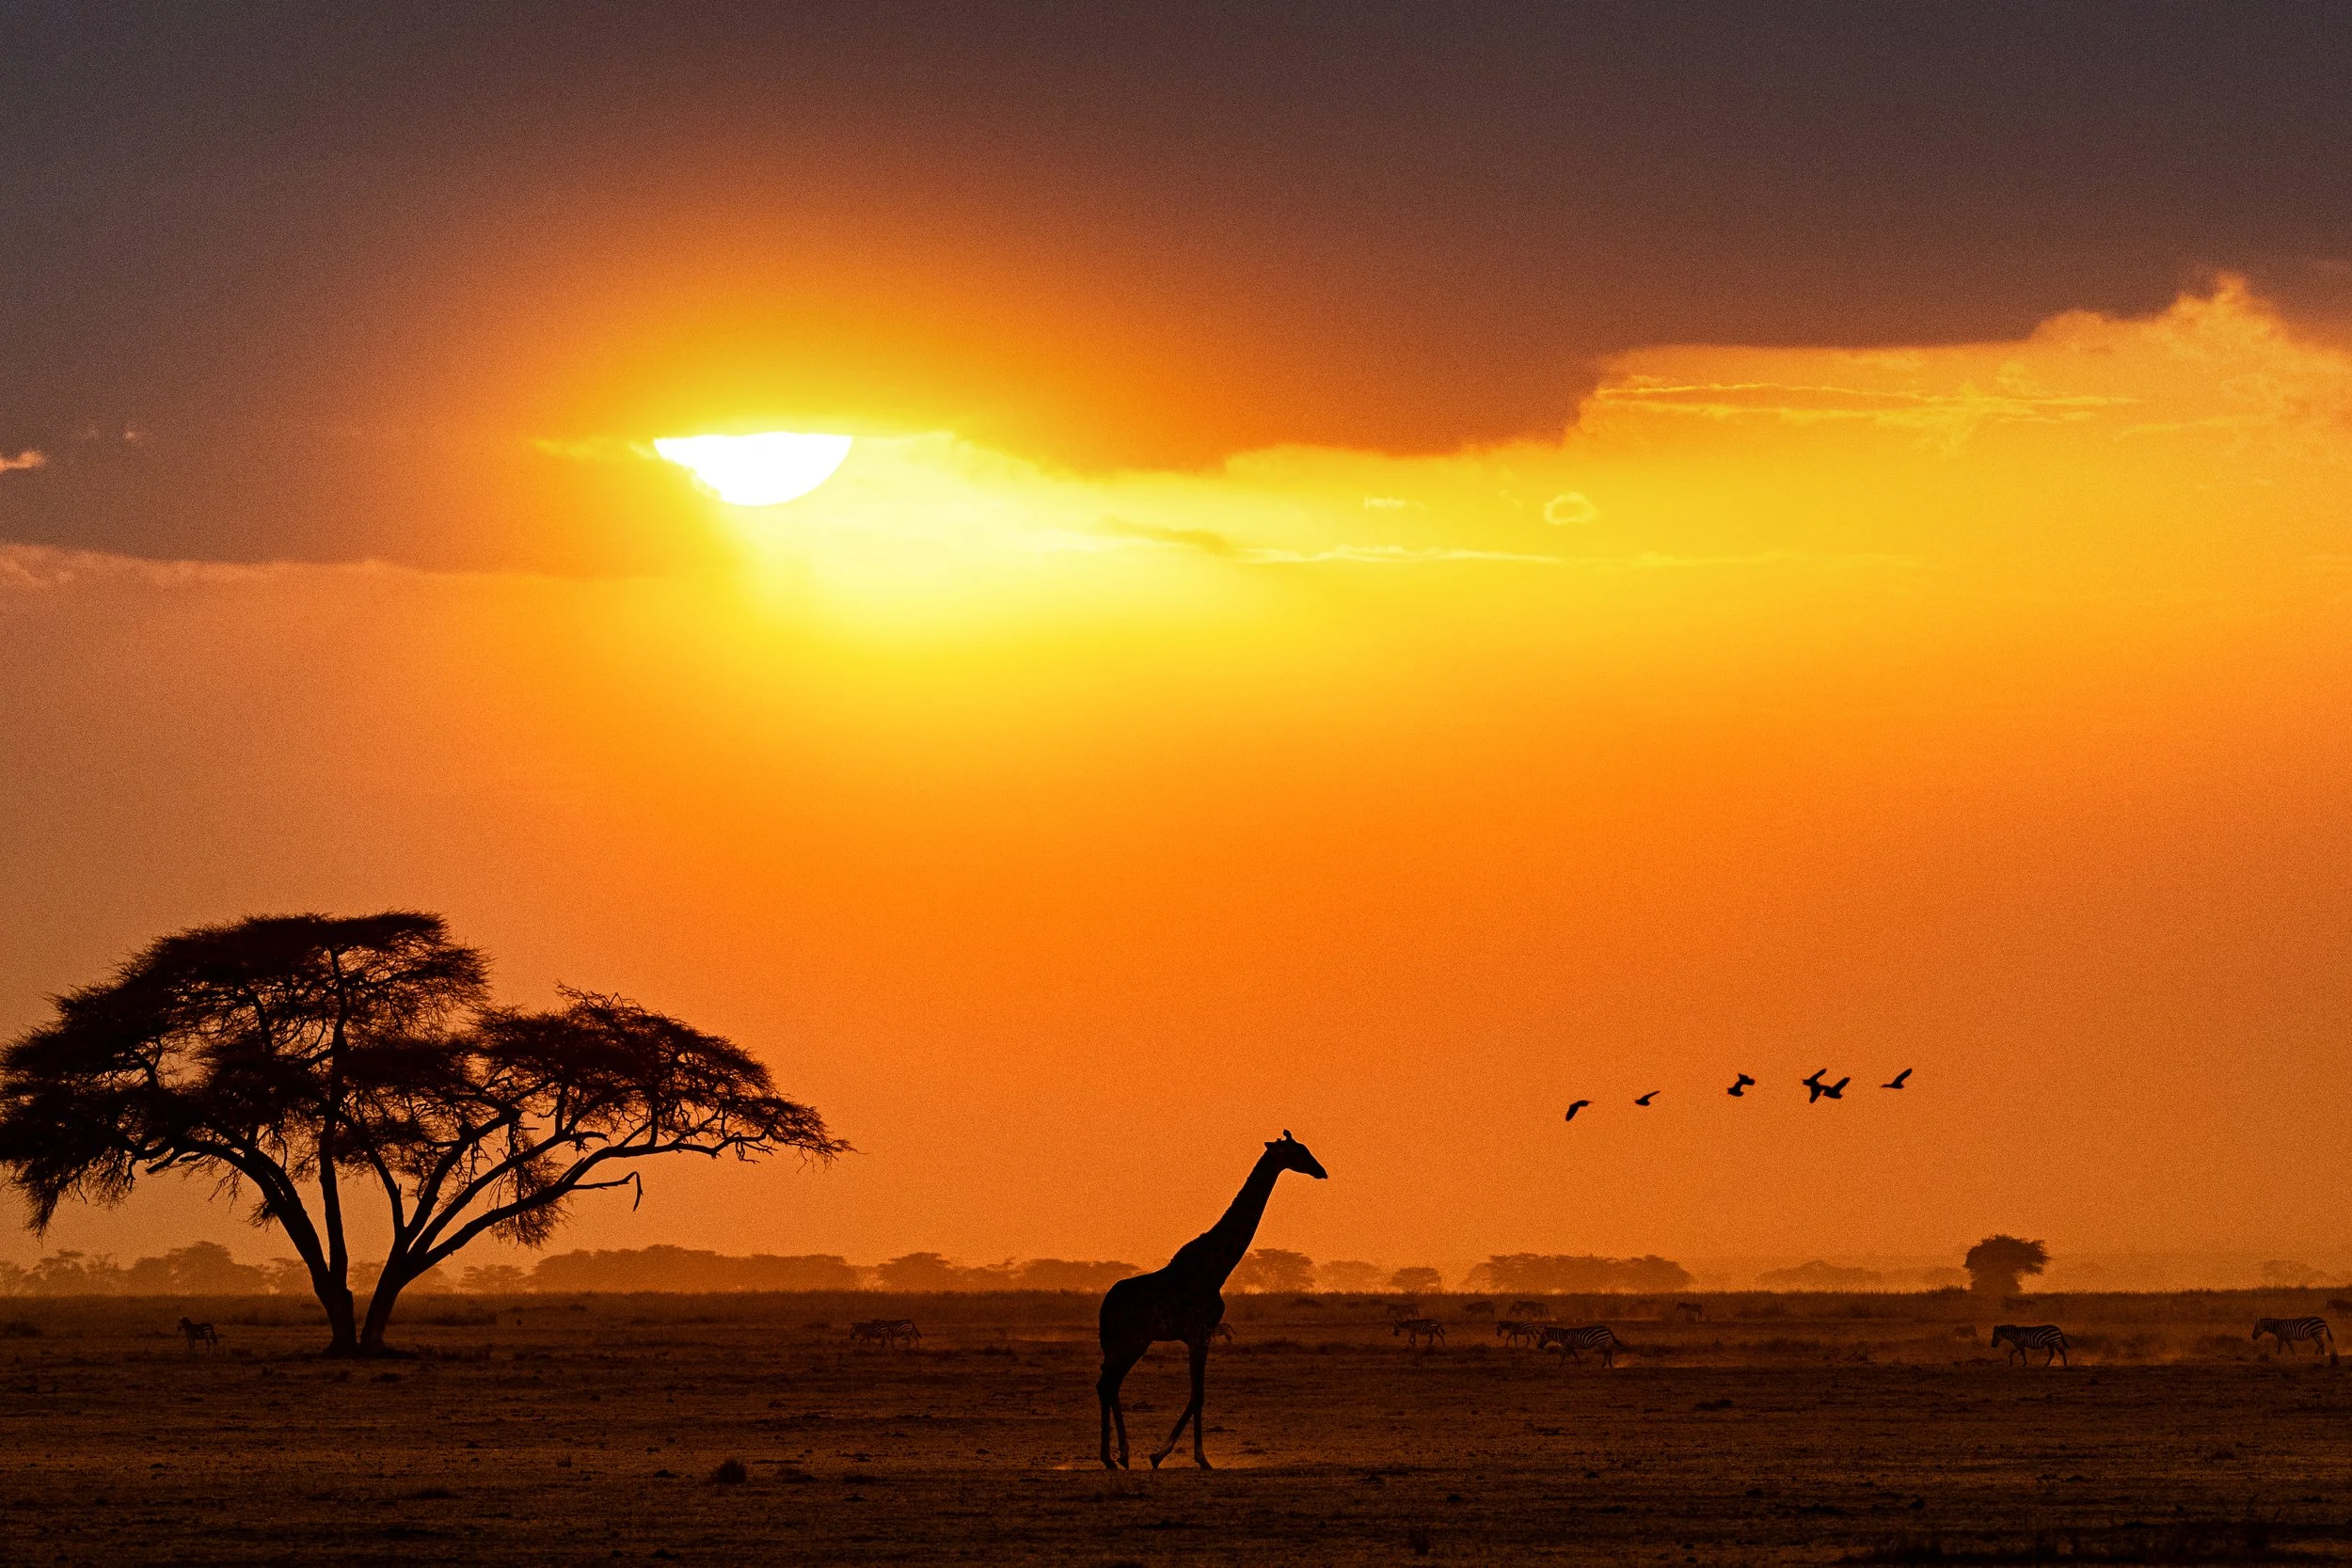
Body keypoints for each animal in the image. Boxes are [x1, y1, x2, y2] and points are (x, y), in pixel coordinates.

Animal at [1096, 1130, 1328, 1470]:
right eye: (1298, 1152)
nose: (1321, 1171)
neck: (1217, 1268)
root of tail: (1105, 1307)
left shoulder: (1199, 1336)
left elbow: (1198, 1394)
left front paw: (1170, 1454)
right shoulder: (1200, 1333)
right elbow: (1198, 1395)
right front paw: (1184, 1456)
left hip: (1128, 1342)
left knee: (1108, 1384)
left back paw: (1119, 1456)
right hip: (1133, 1340)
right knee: (1108, 1383)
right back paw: (1115, 1457)